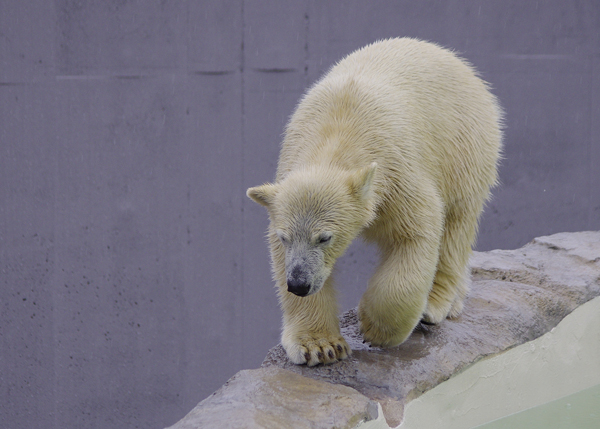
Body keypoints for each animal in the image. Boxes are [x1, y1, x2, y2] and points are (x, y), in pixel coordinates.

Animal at [246, 38, 504, 364]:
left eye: (325, 237)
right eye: (284, 237)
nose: (299, 284)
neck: (338, 128)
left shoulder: (396, 171)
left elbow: (416, 231)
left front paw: (375, 327)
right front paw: (320, 346)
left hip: (465, 147)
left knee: (457, 224)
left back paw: (434, 304)